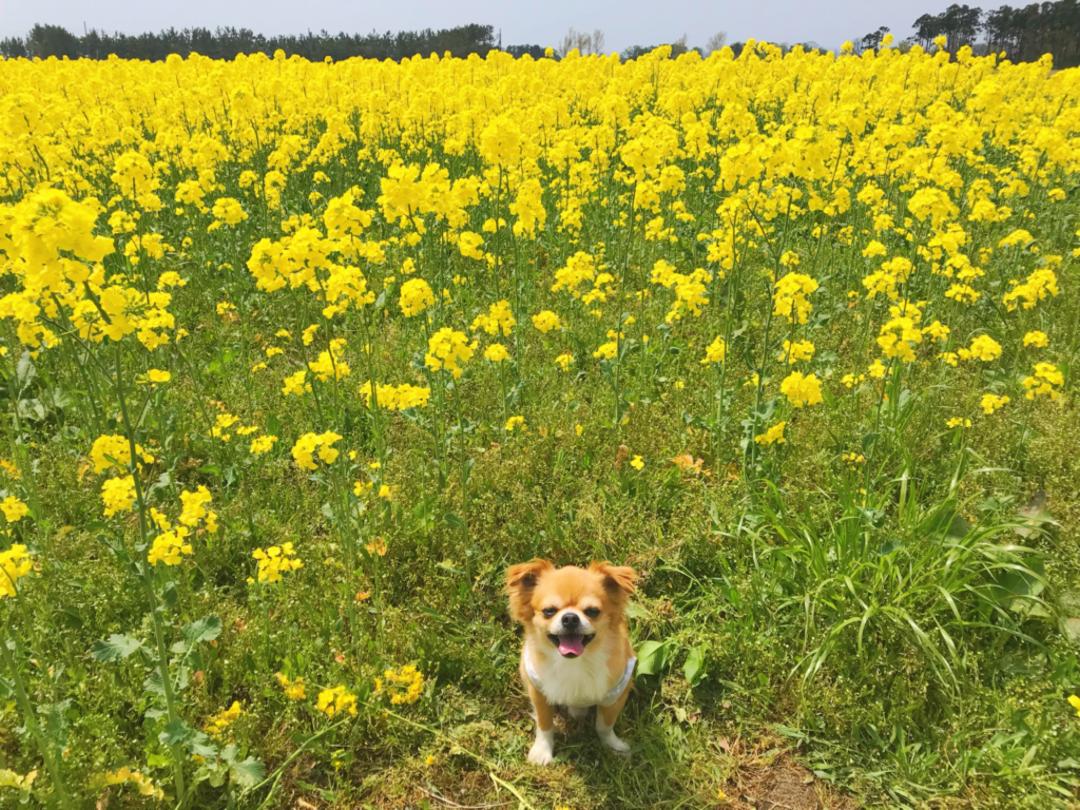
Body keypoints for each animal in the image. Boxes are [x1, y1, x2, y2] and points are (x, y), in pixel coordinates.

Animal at [503, 561, 635, 764]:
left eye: (592, 611)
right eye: (549, 611)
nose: (570, 618)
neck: (575, 663)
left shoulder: (617, 693)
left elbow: (604, 725)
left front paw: (613, 747)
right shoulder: (538, 691)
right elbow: (544, 723)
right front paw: (542, 750)